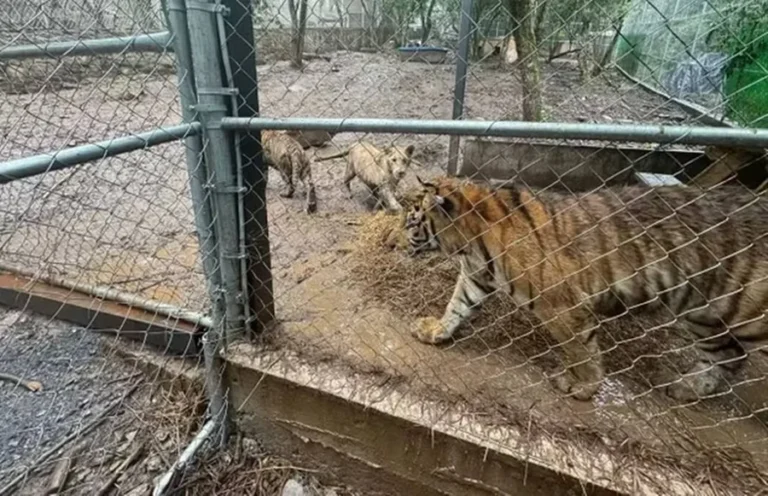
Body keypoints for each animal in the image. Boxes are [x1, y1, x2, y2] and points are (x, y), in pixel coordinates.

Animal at [406, 175, 768, 402]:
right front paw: (437, 330)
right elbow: (458, 305)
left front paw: (583, 387)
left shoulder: (562, 306)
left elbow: (581, 350)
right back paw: (688, 387)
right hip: (705, 314)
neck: (471, 243)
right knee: (729, 356)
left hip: (745, 316)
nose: (399, 238)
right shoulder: (476, 275)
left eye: (412, 220)